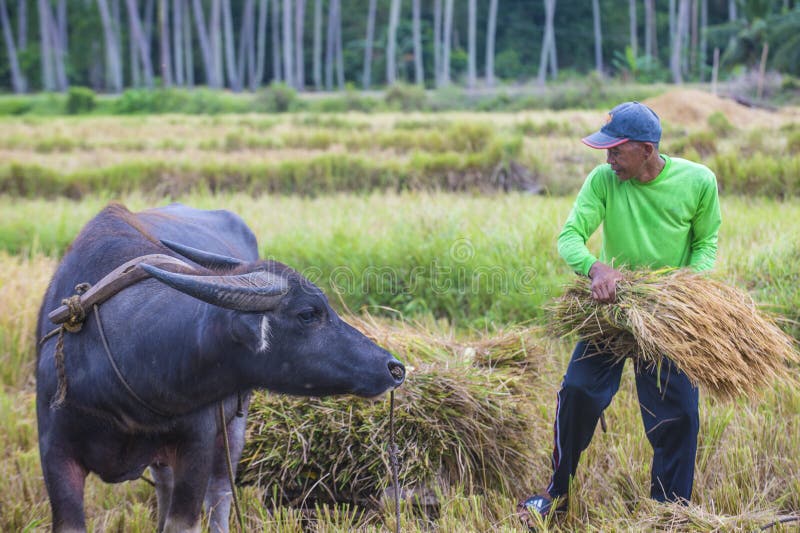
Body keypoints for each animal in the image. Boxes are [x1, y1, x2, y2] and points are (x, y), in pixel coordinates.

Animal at [36, 202, 406, 528]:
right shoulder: (55, 454)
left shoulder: (197, 447)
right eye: (308, 314)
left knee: (220, 494)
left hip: (233, 429)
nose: (394, 367)